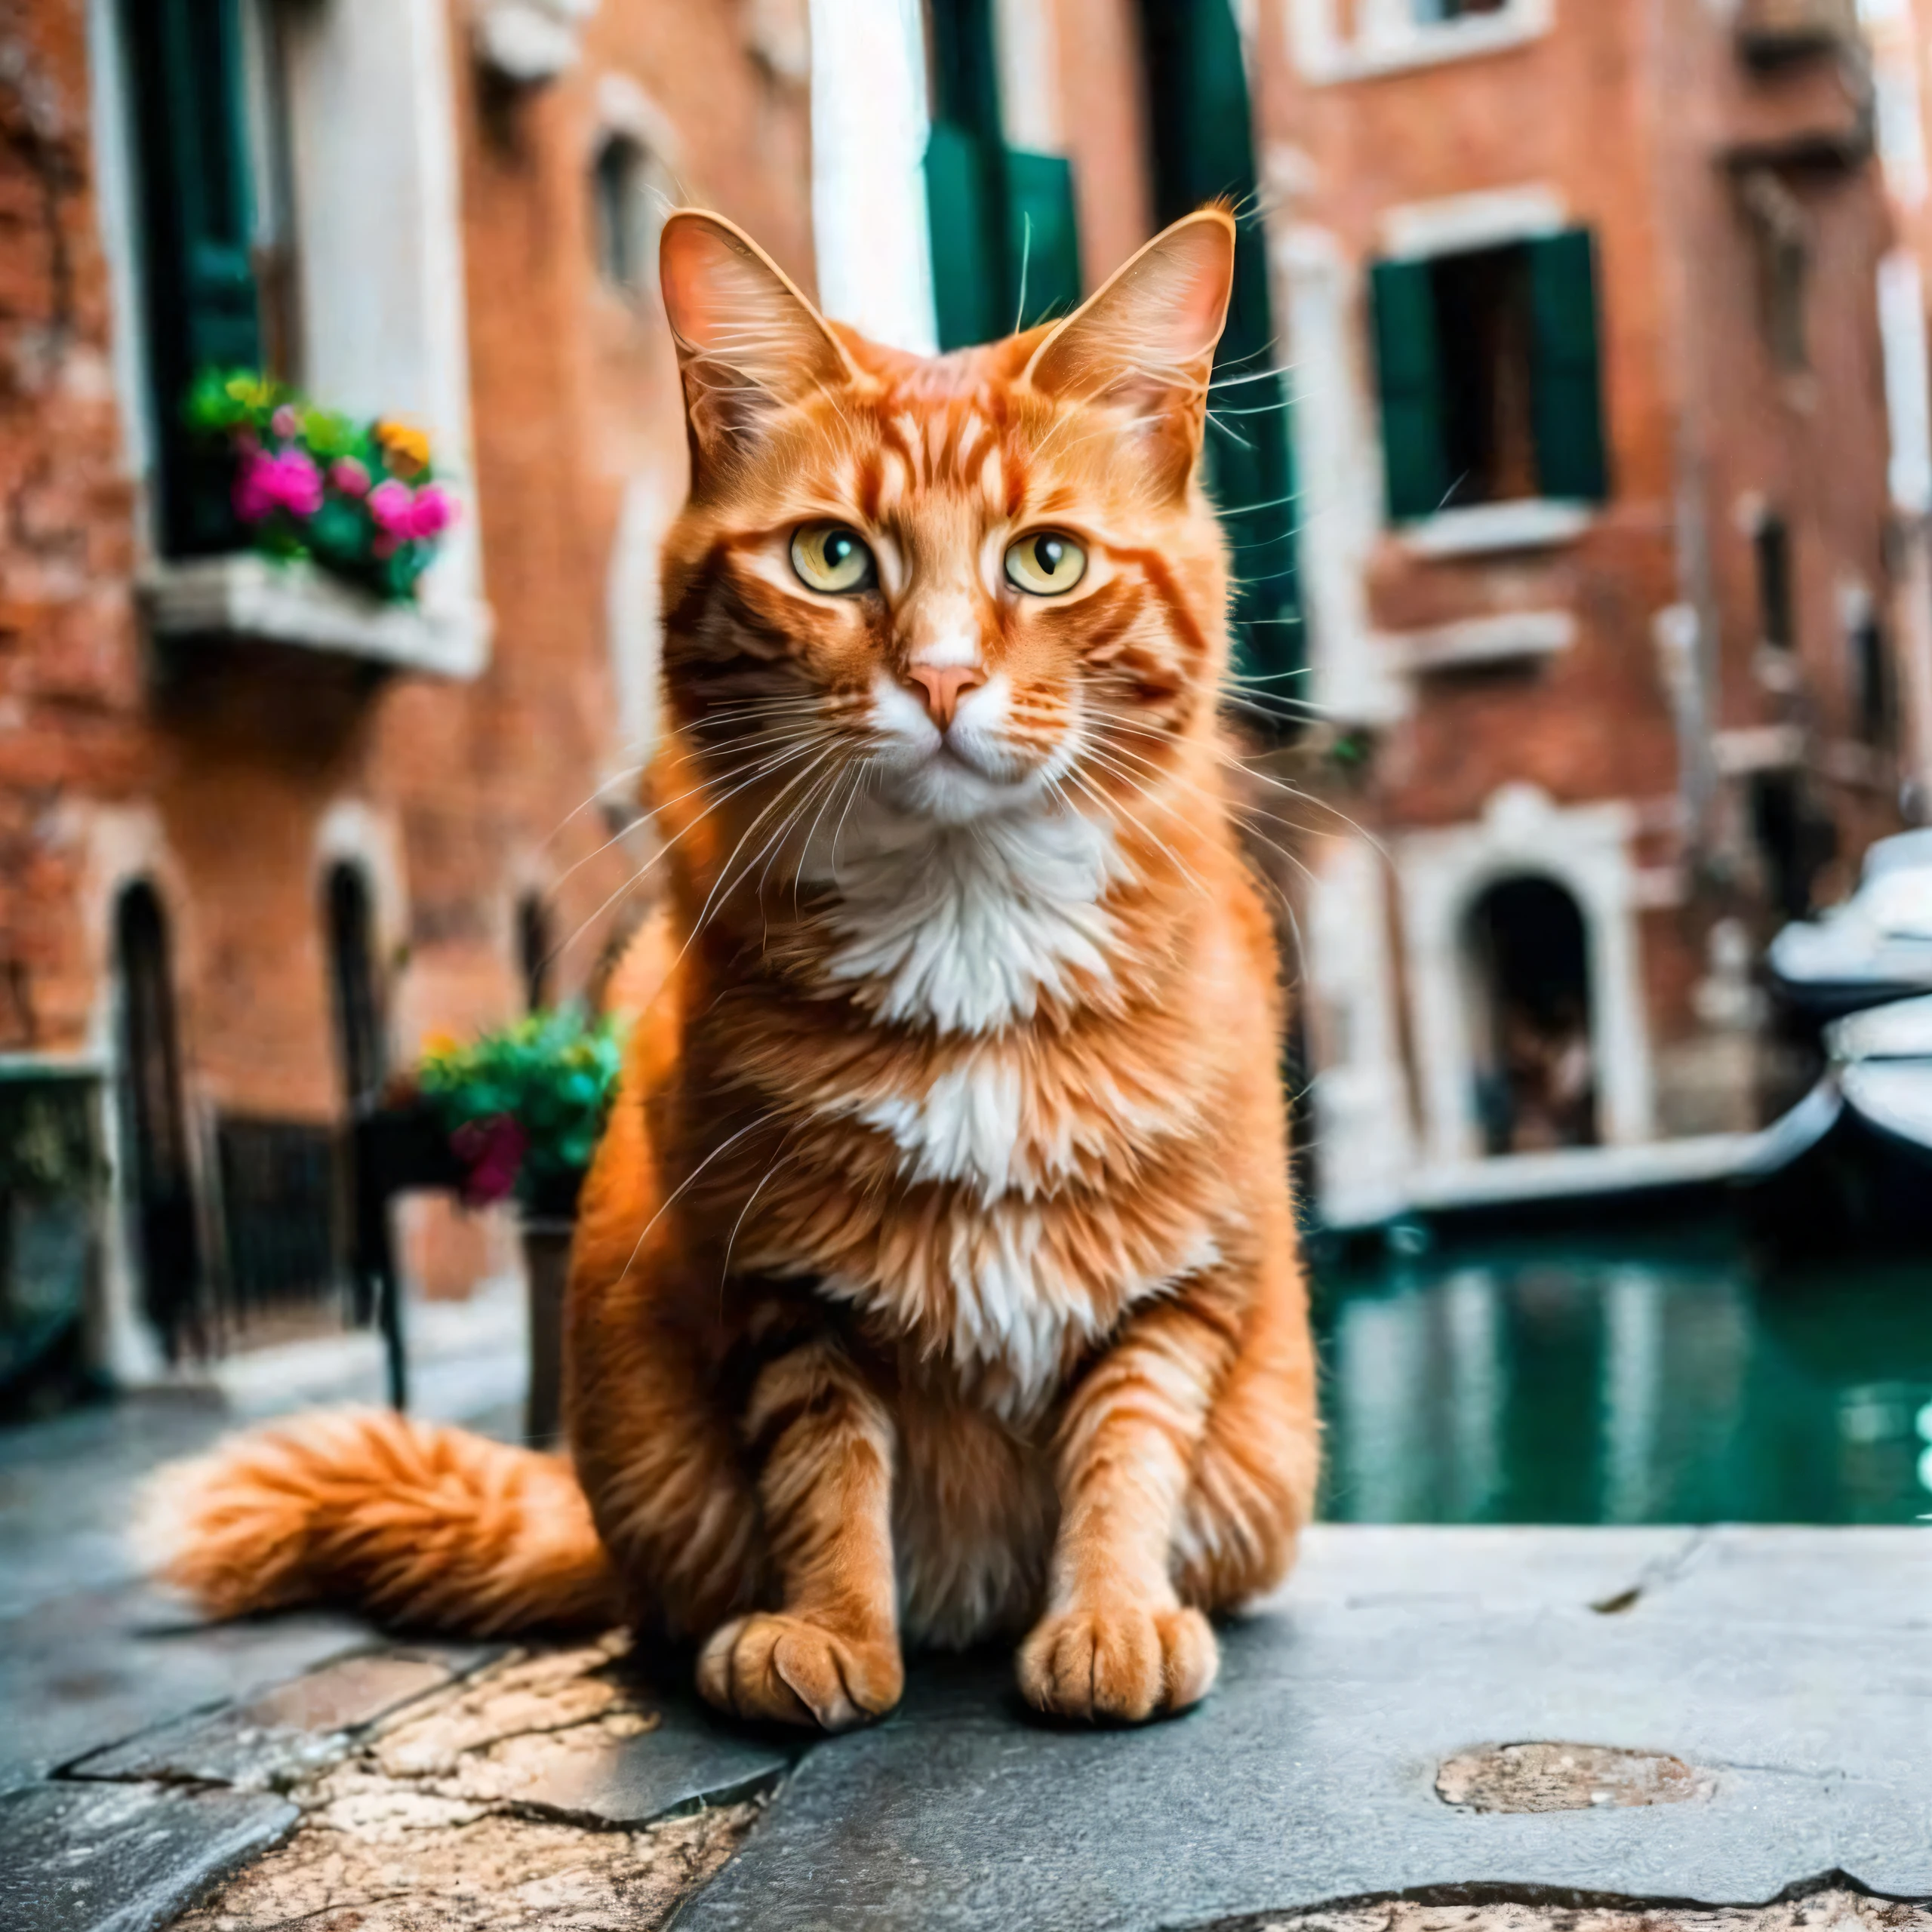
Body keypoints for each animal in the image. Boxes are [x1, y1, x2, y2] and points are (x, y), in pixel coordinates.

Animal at [150, 204, 1321, 1730]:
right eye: (831, 558)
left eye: (1046, 561)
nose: (941, 679)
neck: (967, 918)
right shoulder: (778, 1284)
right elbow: (826, 1472)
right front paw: (827, 1632)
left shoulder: (1184, 1286)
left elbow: (1127, 1450)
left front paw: (1111, 1617)